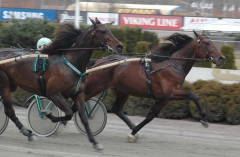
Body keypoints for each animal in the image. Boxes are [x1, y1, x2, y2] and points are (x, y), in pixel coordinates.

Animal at [0, 17, 123, 149]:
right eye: (103, 31)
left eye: (109, 30)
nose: (119, 46)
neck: (70, 63)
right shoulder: (54, 94)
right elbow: (68, 113)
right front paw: (48, 114)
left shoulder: (78, 94)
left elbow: (84, 118)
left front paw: (95, 142)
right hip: (4, 84)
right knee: (9, 111)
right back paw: (27, 133)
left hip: (11, 85)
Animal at [69, 30, 225, 142]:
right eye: (207, 43)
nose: (221, 58)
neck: (173, 64)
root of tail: (99, 61)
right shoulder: (171, 92)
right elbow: (194, 96)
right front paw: (205, 119)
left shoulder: (164, 98)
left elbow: (151, 116)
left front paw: (133, 133)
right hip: (95, 86)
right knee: (76, 104)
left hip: (122, 90)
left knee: (116, 109)